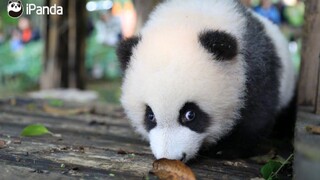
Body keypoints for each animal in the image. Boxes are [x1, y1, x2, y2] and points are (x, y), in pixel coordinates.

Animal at [117, 0, 296, 161]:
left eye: (190, 114)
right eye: (150, 116)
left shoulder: (255, 67)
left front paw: (225, 149)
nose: (171, 158)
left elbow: (257, 114)